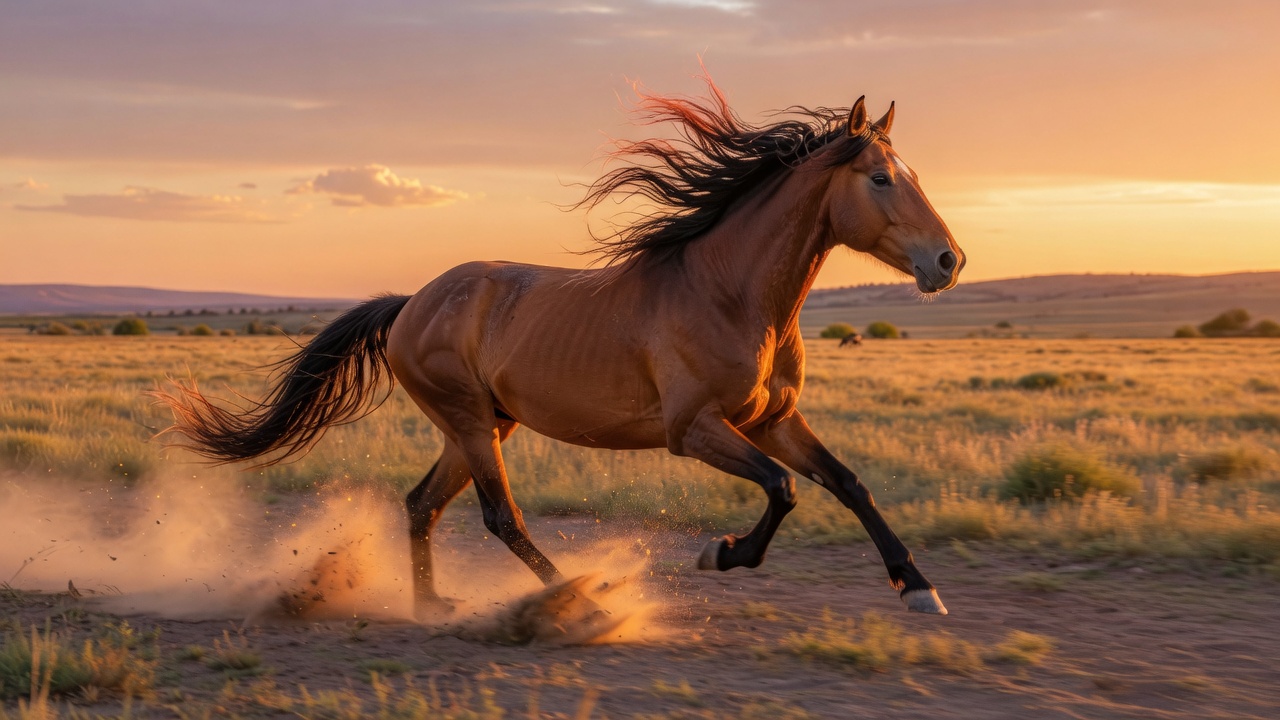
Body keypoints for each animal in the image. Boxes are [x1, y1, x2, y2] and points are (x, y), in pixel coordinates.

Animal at [157, 80, 965, 619]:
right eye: (881, 178)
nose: (949, 262)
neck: (731, 294)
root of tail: (411, 303)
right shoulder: (696, 430)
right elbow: (783, 490)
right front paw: (720, 552)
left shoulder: (773, 421)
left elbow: (847, 483)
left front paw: (919, 588)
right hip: (472, 424)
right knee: (498, 517)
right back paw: (586, 600)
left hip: (483, 424)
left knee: (422, 504)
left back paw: (433, 606)